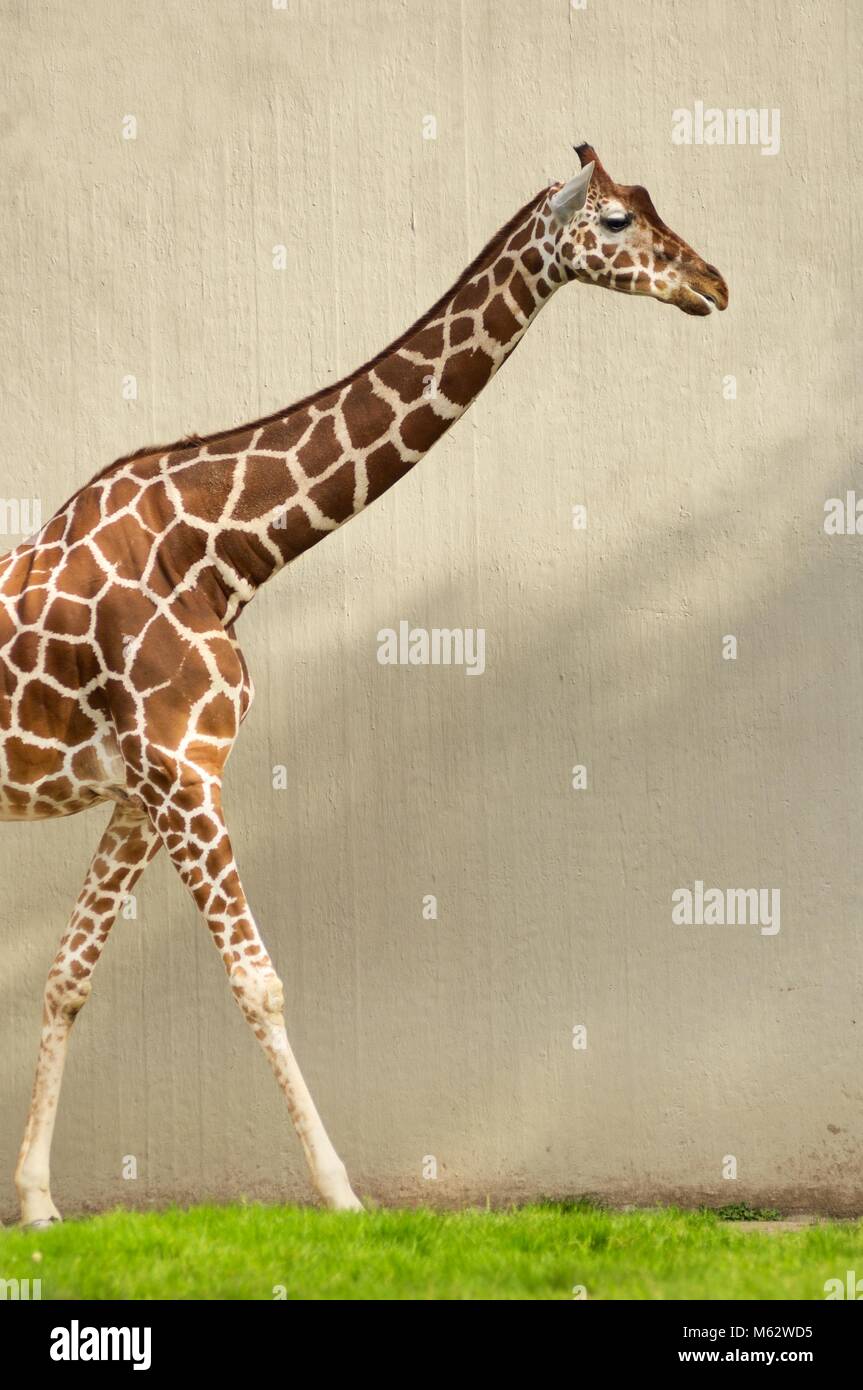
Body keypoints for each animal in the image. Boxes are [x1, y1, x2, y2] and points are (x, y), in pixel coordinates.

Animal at [2, 145, 727, 1224]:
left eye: (651, 206)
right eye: (612, 221)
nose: (712, 283)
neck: (221, 552)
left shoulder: (147, 785)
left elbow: (66, 977)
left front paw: (41, 1205)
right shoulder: (183, 770)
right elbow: (258, 982)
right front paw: (342, 1196)